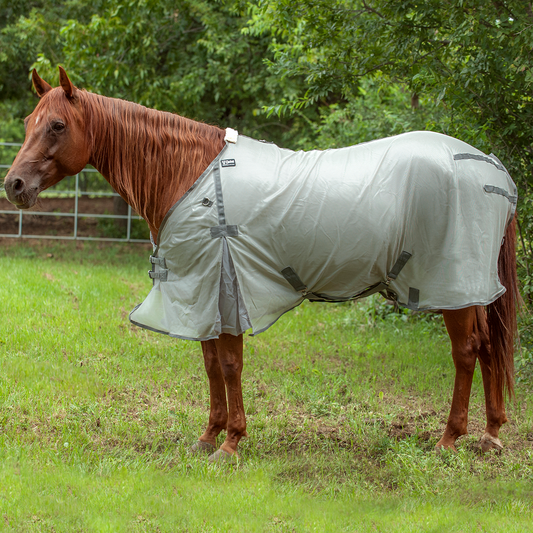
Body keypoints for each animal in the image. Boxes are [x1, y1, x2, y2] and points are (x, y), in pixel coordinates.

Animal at [3, 66, 520, 460]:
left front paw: (231, 443)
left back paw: (450, 439)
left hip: (450, 283)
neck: (189, 176)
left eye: (57, 125)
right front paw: (208, 436)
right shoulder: (200, 296)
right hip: (470, 287)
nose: (14, 186)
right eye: (29, 121)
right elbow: (211, 363)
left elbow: (230, 364)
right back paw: (491, 434)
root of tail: (492, 167)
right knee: (489, 345)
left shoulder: (223, 287)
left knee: (467, 350)